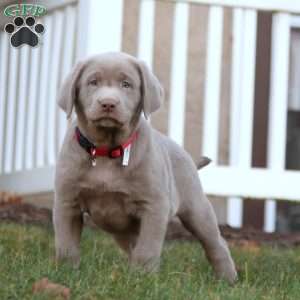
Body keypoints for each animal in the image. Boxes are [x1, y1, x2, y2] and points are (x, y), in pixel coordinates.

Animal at [53, 51, 237, 284]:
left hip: (197, 209)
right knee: (132, 245)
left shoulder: (154, 206)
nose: (108, 103)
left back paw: (228, 279)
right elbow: (66, 244)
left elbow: (148, 248)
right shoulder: (67, 202)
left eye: (126, 84)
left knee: (215, 243)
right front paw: (66, 273)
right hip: (124, 230)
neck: (107, 150)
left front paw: (143, 279)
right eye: (92, 82)